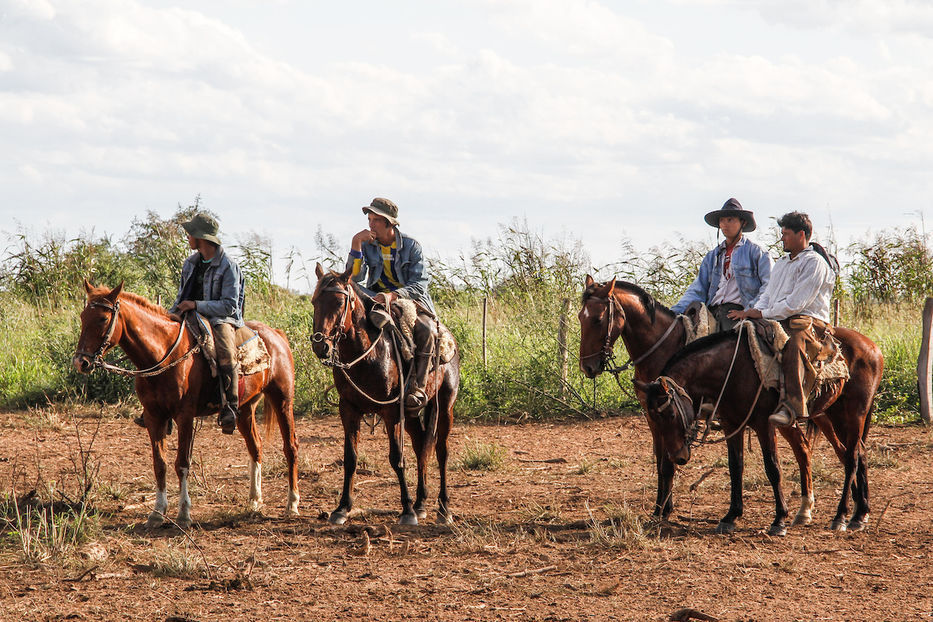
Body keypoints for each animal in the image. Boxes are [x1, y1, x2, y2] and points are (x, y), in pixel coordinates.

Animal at [73, 282, 298, 532]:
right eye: (83, 316)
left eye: (103, 319)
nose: (81, 362)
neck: (163, 354)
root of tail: (276, 335)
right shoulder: (154, 417)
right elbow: (159, 464)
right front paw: (157, 513)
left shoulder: (185, 416)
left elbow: (181, 463)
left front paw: (183, 514)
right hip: (246, 409)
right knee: (255, 447)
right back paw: (255, 501)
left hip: (283, 400)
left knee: (290, 447)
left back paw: (292, 504)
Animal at [312, 264, 460, 528]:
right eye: (314, 301)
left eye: (339, 302)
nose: (321, 346)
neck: (367, 355)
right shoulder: (348, 409)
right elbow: (350, 458)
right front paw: (342, 508)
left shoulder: (391, 412)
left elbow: (396, 457)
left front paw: (407, 511)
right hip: (411, 414)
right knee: (421, 446)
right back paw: (421, 503)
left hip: (445, 406)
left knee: (441, 451)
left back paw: (443, 509)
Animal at [636, 316, 884, 536]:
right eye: (653, 417)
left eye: (669, 414)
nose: (678, 456)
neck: (733, 368)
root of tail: (873, 347)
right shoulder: (731, 424)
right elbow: (735, 467)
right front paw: (731, 516)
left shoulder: (764, 424)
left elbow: (773, 468)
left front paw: (779, 520)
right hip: (834, 414)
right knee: (855, 453)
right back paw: (858, 514)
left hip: (854, 413)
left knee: (851, 457)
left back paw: (841, 516)